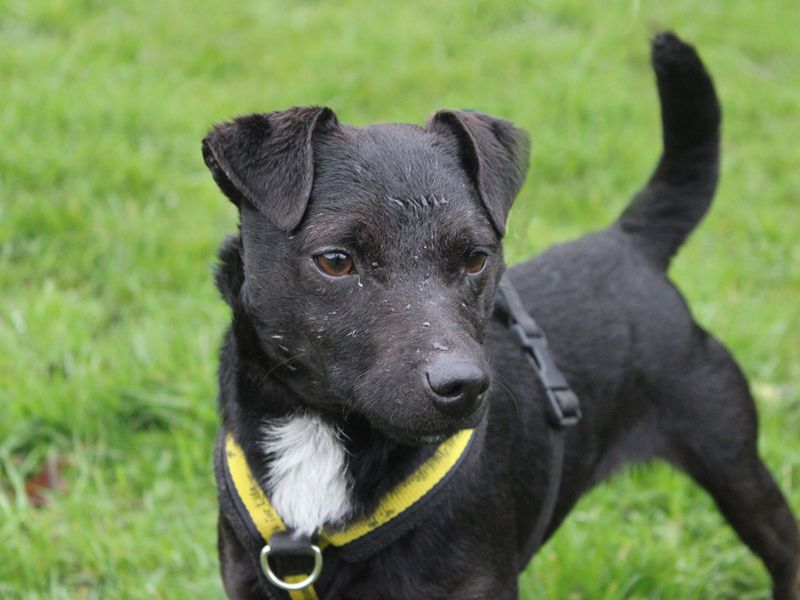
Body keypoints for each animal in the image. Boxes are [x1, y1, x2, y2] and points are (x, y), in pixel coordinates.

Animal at [202, 34, 800, 600]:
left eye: (475, 258)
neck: (323, 429)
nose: (463, 386)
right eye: (335, 260)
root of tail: (629, 242)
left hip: (732, 460)